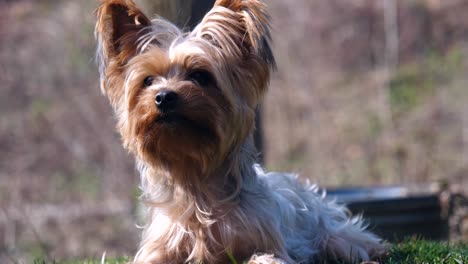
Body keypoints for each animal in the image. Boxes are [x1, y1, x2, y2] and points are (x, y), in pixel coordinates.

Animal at [95, 1, 384, 262]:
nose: (164, 97)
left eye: (199, 76)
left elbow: (265, 257)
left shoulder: (267, 241)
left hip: (332, 232)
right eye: (148, 81)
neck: (195, 180)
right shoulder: (158, 249)